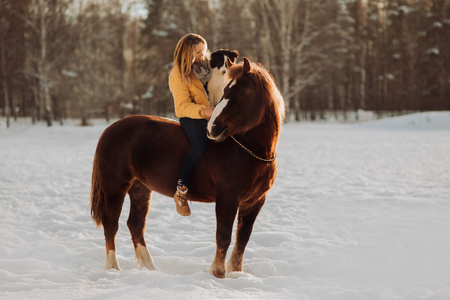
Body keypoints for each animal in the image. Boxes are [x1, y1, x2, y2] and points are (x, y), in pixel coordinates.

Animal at [89, 56, 284, 278]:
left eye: (243, 91)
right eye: (226, 90)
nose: (213, 128)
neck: (247, 149)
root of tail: (110, 129)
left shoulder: (255, 202)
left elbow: (242, 238)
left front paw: (236, 272)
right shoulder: (227, 199)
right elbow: (223, 236)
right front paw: (218, 273)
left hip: (140, 189)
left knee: (136, 225)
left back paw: (150, 268)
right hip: (115, 187)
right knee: (111, 225)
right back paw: (113, 268)